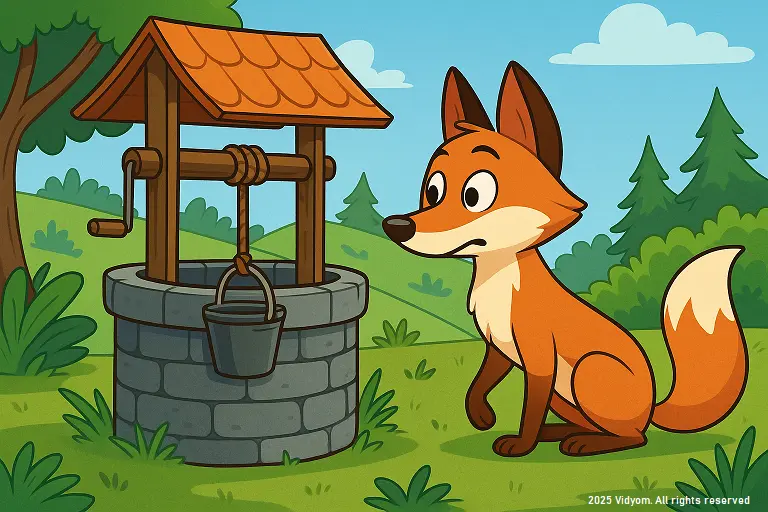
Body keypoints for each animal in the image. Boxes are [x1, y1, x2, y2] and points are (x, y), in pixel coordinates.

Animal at [382, 61, 749, 457]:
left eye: (474, 195)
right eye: (432, 190)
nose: (396, 226)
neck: (499, 281)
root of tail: (652, 405)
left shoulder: (540, 358)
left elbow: (529, 407)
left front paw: (520, 445)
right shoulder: (499, 349)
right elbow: (480, 384)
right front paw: (481, 415)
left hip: (588, 371)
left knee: (634, 437)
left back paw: (583, 444)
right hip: (567, 395)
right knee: (590, 424)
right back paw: (560, 434)